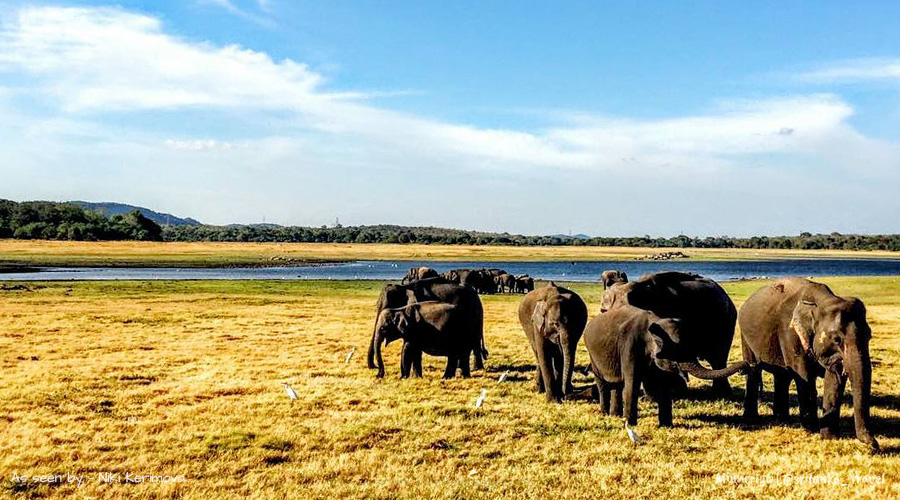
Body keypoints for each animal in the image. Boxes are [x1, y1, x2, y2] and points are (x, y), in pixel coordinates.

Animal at [584, 304, 744, 426]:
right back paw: (605, 413)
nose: (746, 367)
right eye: (676, 351)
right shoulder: (629, 347)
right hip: (593, 355)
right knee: (603, 383)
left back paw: (615, 415)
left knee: (616, 385)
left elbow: (663, 384)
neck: (655, 322)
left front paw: (667, 425)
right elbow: (632, 383)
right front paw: (631, 425)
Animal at [740, 280, 880, 452]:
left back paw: (781, 420)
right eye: (837, 339)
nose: (874, 446)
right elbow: (804, 377)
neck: (821, 301)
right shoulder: (791, 334)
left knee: (782, 376)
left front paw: (829, 438)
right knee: (754, 371)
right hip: (745, 337)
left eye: (869, 336)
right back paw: (752, 418)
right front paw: (811, 430)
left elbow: (834, 378)